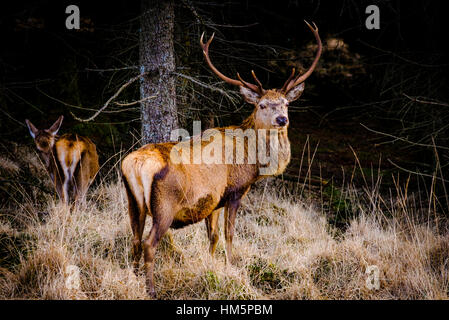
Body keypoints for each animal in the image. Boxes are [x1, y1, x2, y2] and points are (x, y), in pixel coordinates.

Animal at [121, 20, 320, 298]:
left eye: (285, 104)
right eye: (261, 105)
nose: (282, 119)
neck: (252, 161)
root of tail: (135, 164)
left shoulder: (213, 200)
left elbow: (213, 236)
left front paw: (210, 266)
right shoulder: (235, 191)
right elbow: (229, 235)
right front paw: (230, 267)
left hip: (133, 201)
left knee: (135, 240)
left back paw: (134, 277)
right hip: (165, 205)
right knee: (150, 243)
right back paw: (150, 289)